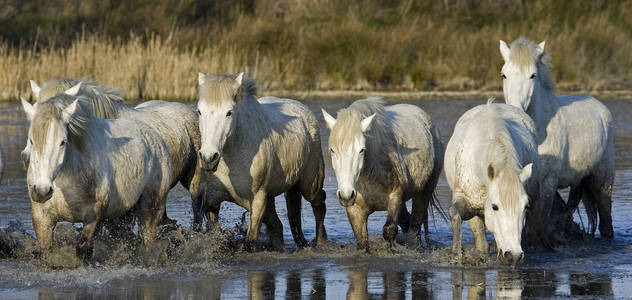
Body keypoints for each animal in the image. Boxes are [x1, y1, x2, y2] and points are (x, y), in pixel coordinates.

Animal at [20, 92, 172, 262]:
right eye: (31, 140)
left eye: (62, 142)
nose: (42, 190)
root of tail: (155, 137)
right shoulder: (42, 220)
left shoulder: (94, 215)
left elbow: (83, 249)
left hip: (151, 207)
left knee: (147, 241)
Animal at [196, 72, 326, 251]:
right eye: (199, 111)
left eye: (229, 112)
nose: (209, 157)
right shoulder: (212, 202)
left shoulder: (258, 200)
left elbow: (250, 243)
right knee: (282, 223)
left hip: (309, 186)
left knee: (319, 203)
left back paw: (321, 241)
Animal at [444, 99, 540, 266]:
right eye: (495, 207)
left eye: (525, 206)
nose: (514, 255)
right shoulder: (466, 201)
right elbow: (454, 214)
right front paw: (456, 254)